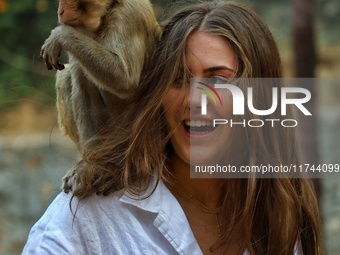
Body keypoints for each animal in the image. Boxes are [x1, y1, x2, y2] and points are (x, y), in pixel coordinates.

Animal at [40, 0, 161, 193]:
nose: (60, 11)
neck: (106, 13)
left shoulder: (129, 15)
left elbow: (125, 79)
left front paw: (60, 35)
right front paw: (89, 166)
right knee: (71, 75)